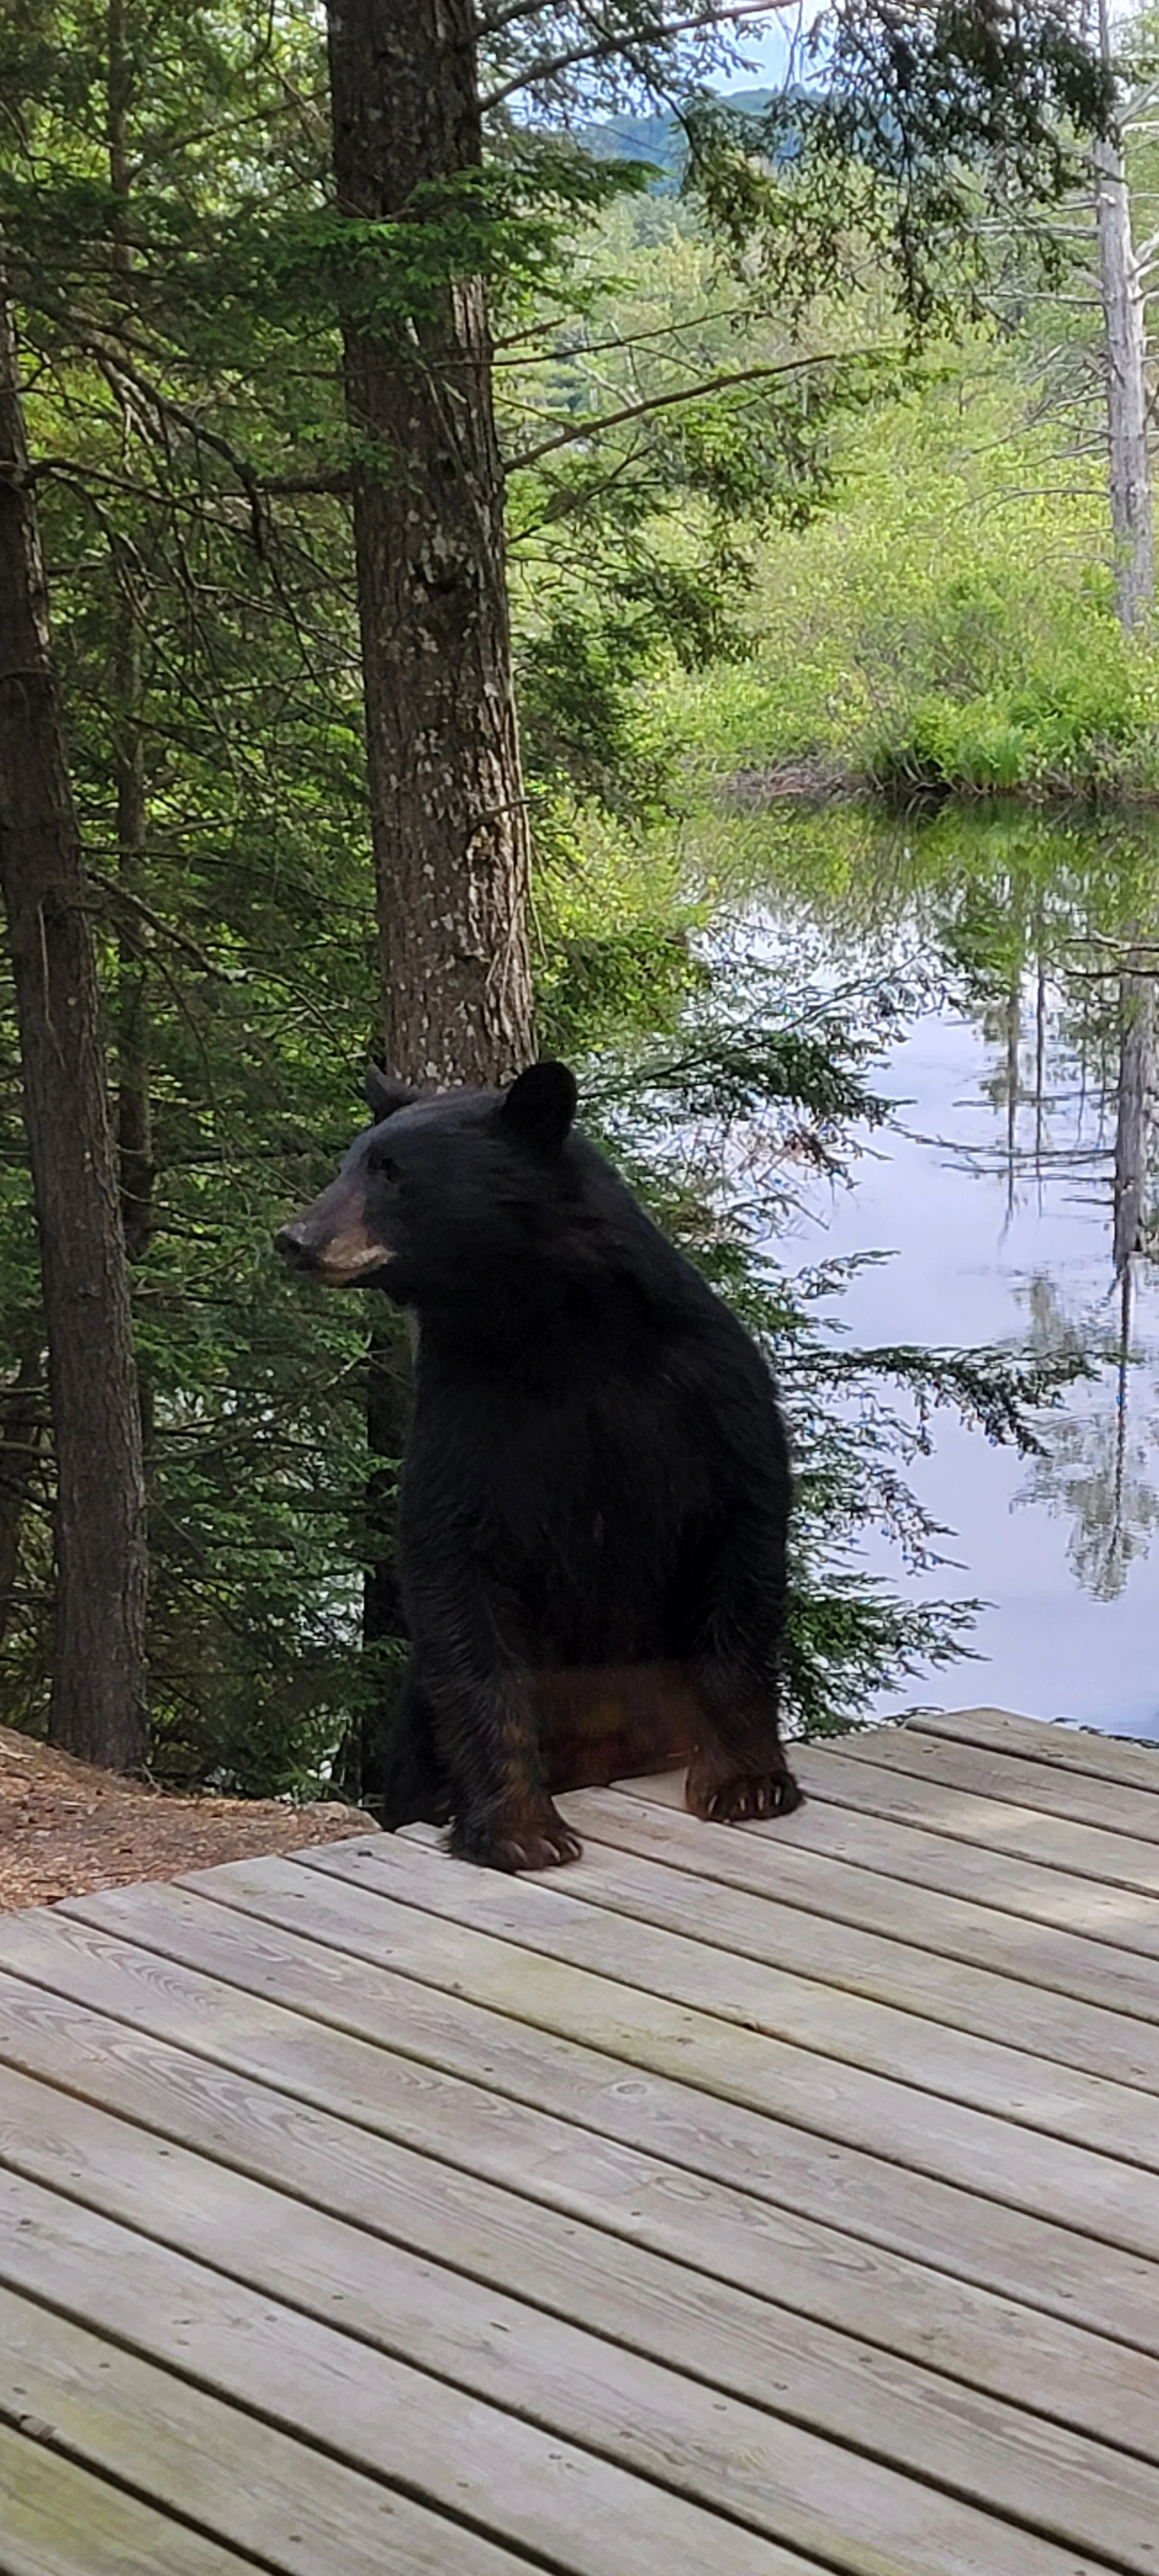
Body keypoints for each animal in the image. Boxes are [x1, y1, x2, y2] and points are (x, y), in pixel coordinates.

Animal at [276, 1060, 801, 1872]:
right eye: (349, 1163)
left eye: (392, 1172)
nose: (295, 1237)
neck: (551, 1330)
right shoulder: (468, 1416)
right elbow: (458, 1581)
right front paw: (517, 1826)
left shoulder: (709, 1395)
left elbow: (743, 1546)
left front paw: (747, 1782)